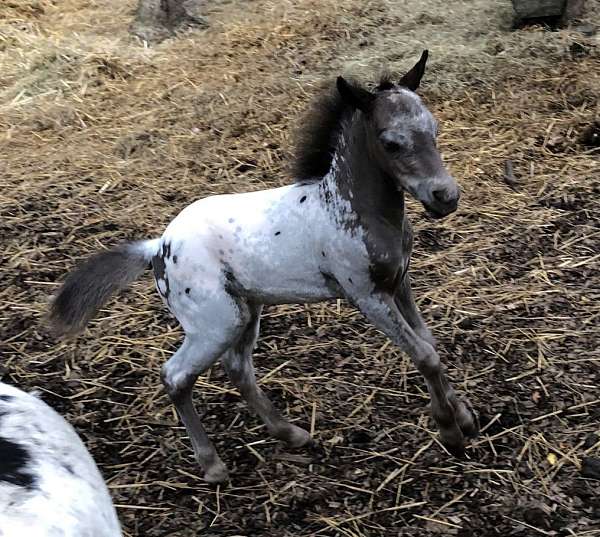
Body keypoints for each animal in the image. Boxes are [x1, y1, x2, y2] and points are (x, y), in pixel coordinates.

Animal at [50, 52, 478, 484]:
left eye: (434, 128)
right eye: (391, 142)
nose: (445, 196)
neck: (347, 208)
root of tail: (158, 246)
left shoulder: (399, 283)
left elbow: (429, 342)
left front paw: (464, 416)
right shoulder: (367, 295)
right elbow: (423, 354)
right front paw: (450, 431)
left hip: (246, 311)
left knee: (238, 368)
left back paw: (291, 433)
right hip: (215, 323)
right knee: (175, 376)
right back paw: (213, 465)